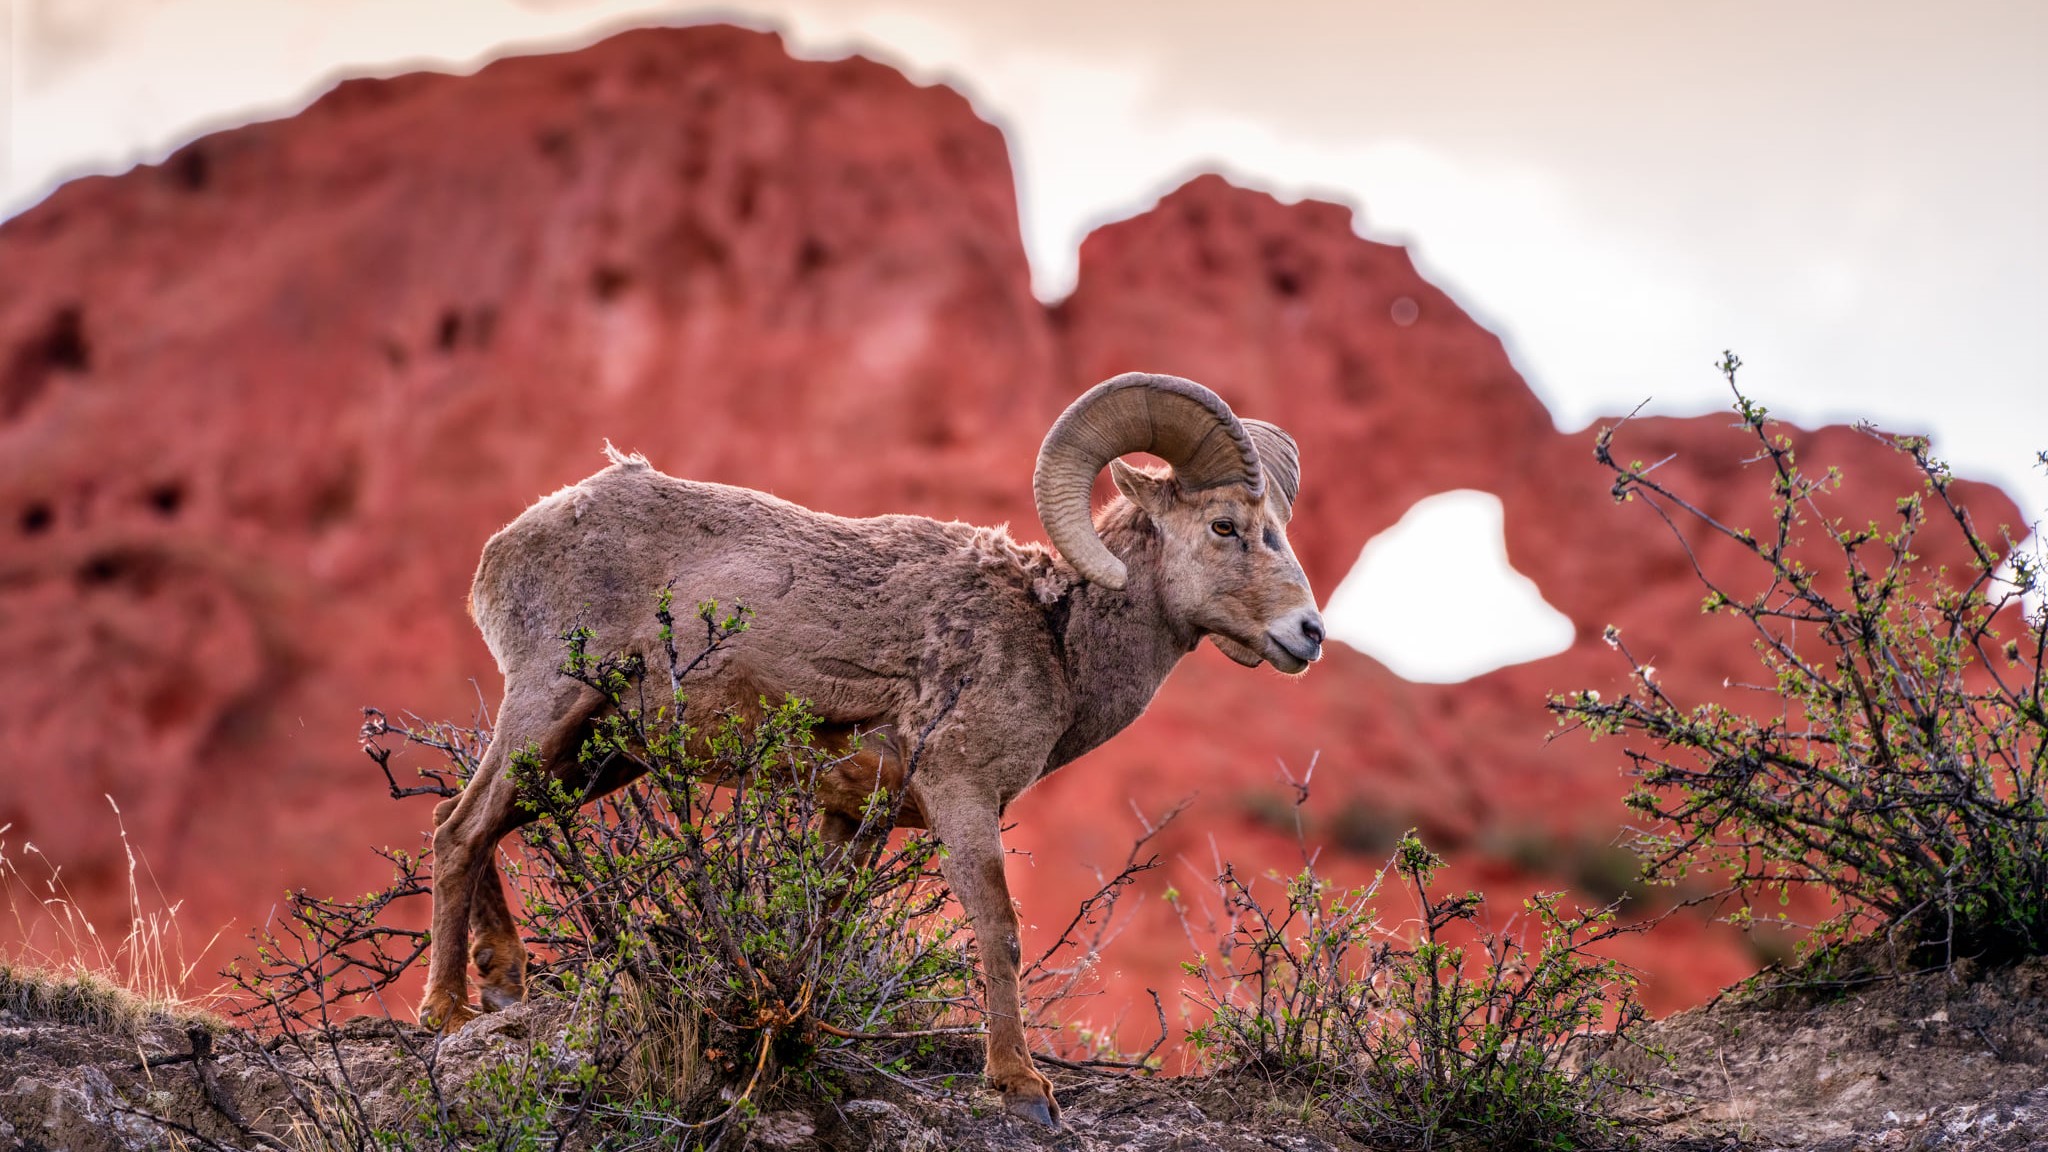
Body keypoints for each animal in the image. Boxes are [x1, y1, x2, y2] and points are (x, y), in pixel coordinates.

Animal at [422, 371, 1325, 1125]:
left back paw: (502, 986)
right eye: (1225, 526)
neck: (1055, 636)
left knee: (489, 822)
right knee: (461, 829)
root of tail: (510, 541)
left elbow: (821, 929)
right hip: (550, 705)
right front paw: (1024, 1090)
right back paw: (448, 1011)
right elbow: (997, 928)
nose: (1308, 634)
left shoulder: (855, 816)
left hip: (603, 755)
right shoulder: (962, 795)